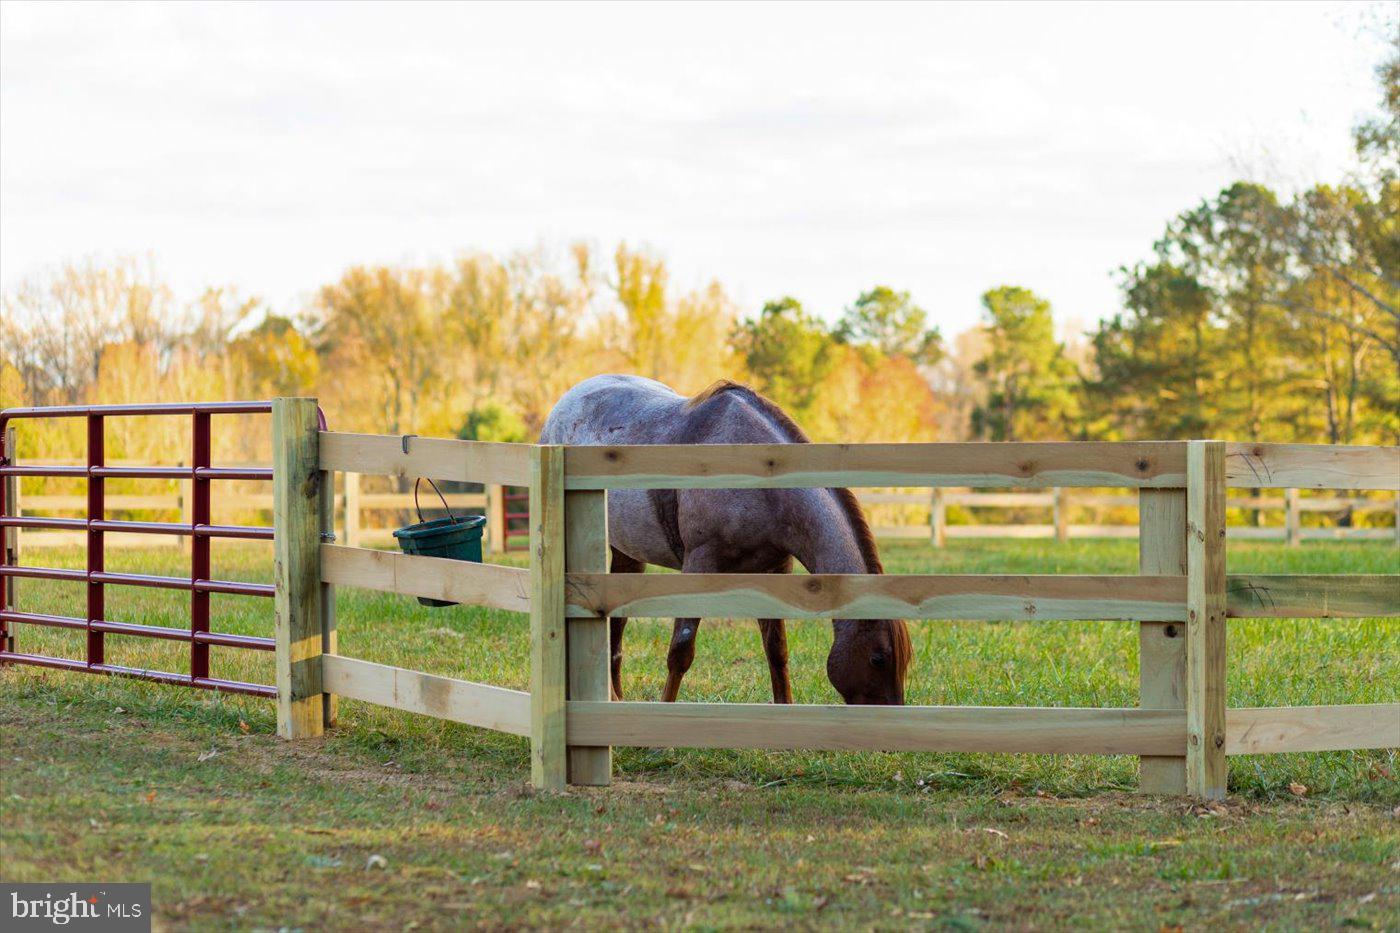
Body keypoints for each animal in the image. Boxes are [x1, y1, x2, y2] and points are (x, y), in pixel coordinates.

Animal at [540, 375, 912, 700]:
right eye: (878, 658)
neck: (764, 481)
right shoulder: (699, 565)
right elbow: (680, 651)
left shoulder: (773, 570)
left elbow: (776, 651)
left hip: (628, 553)